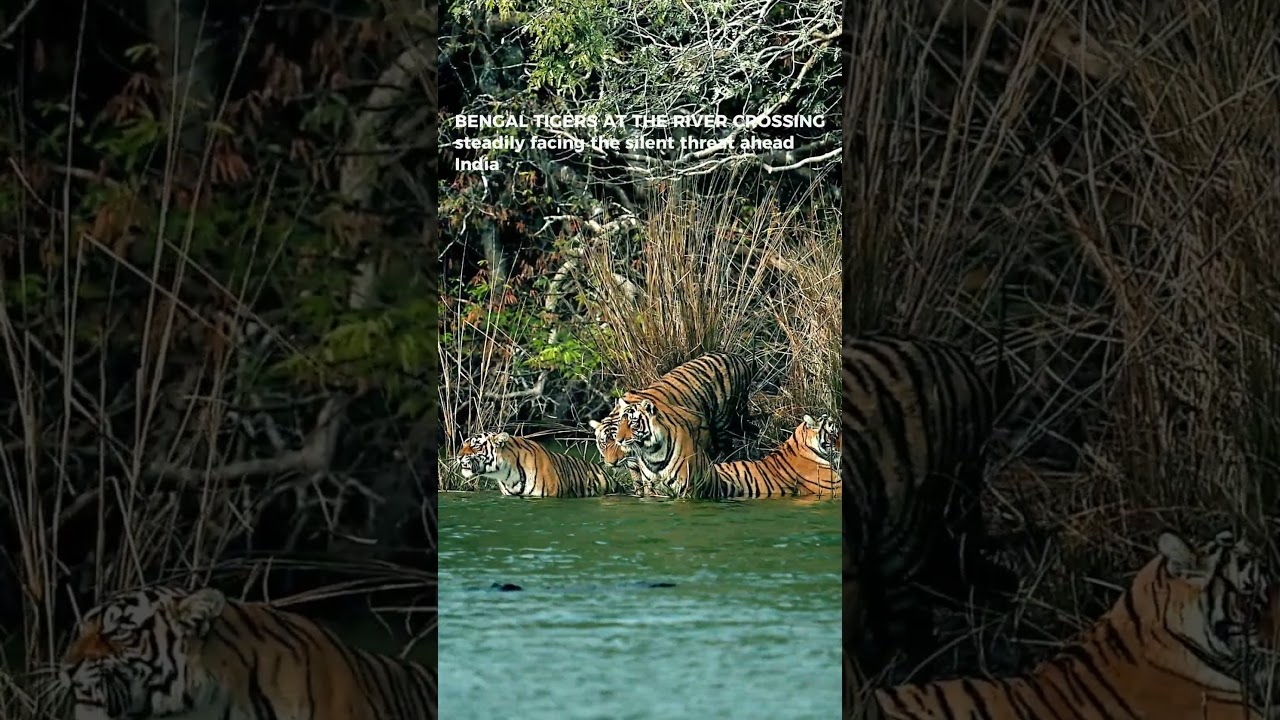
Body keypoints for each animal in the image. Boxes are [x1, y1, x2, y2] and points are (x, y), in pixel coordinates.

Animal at [590, 351, 758, 494]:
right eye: (603, 443)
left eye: (619, 444)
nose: (612, 463)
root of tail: (738, 357)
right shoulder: (636, 468)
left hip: (723, 423)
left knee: (727, 449)